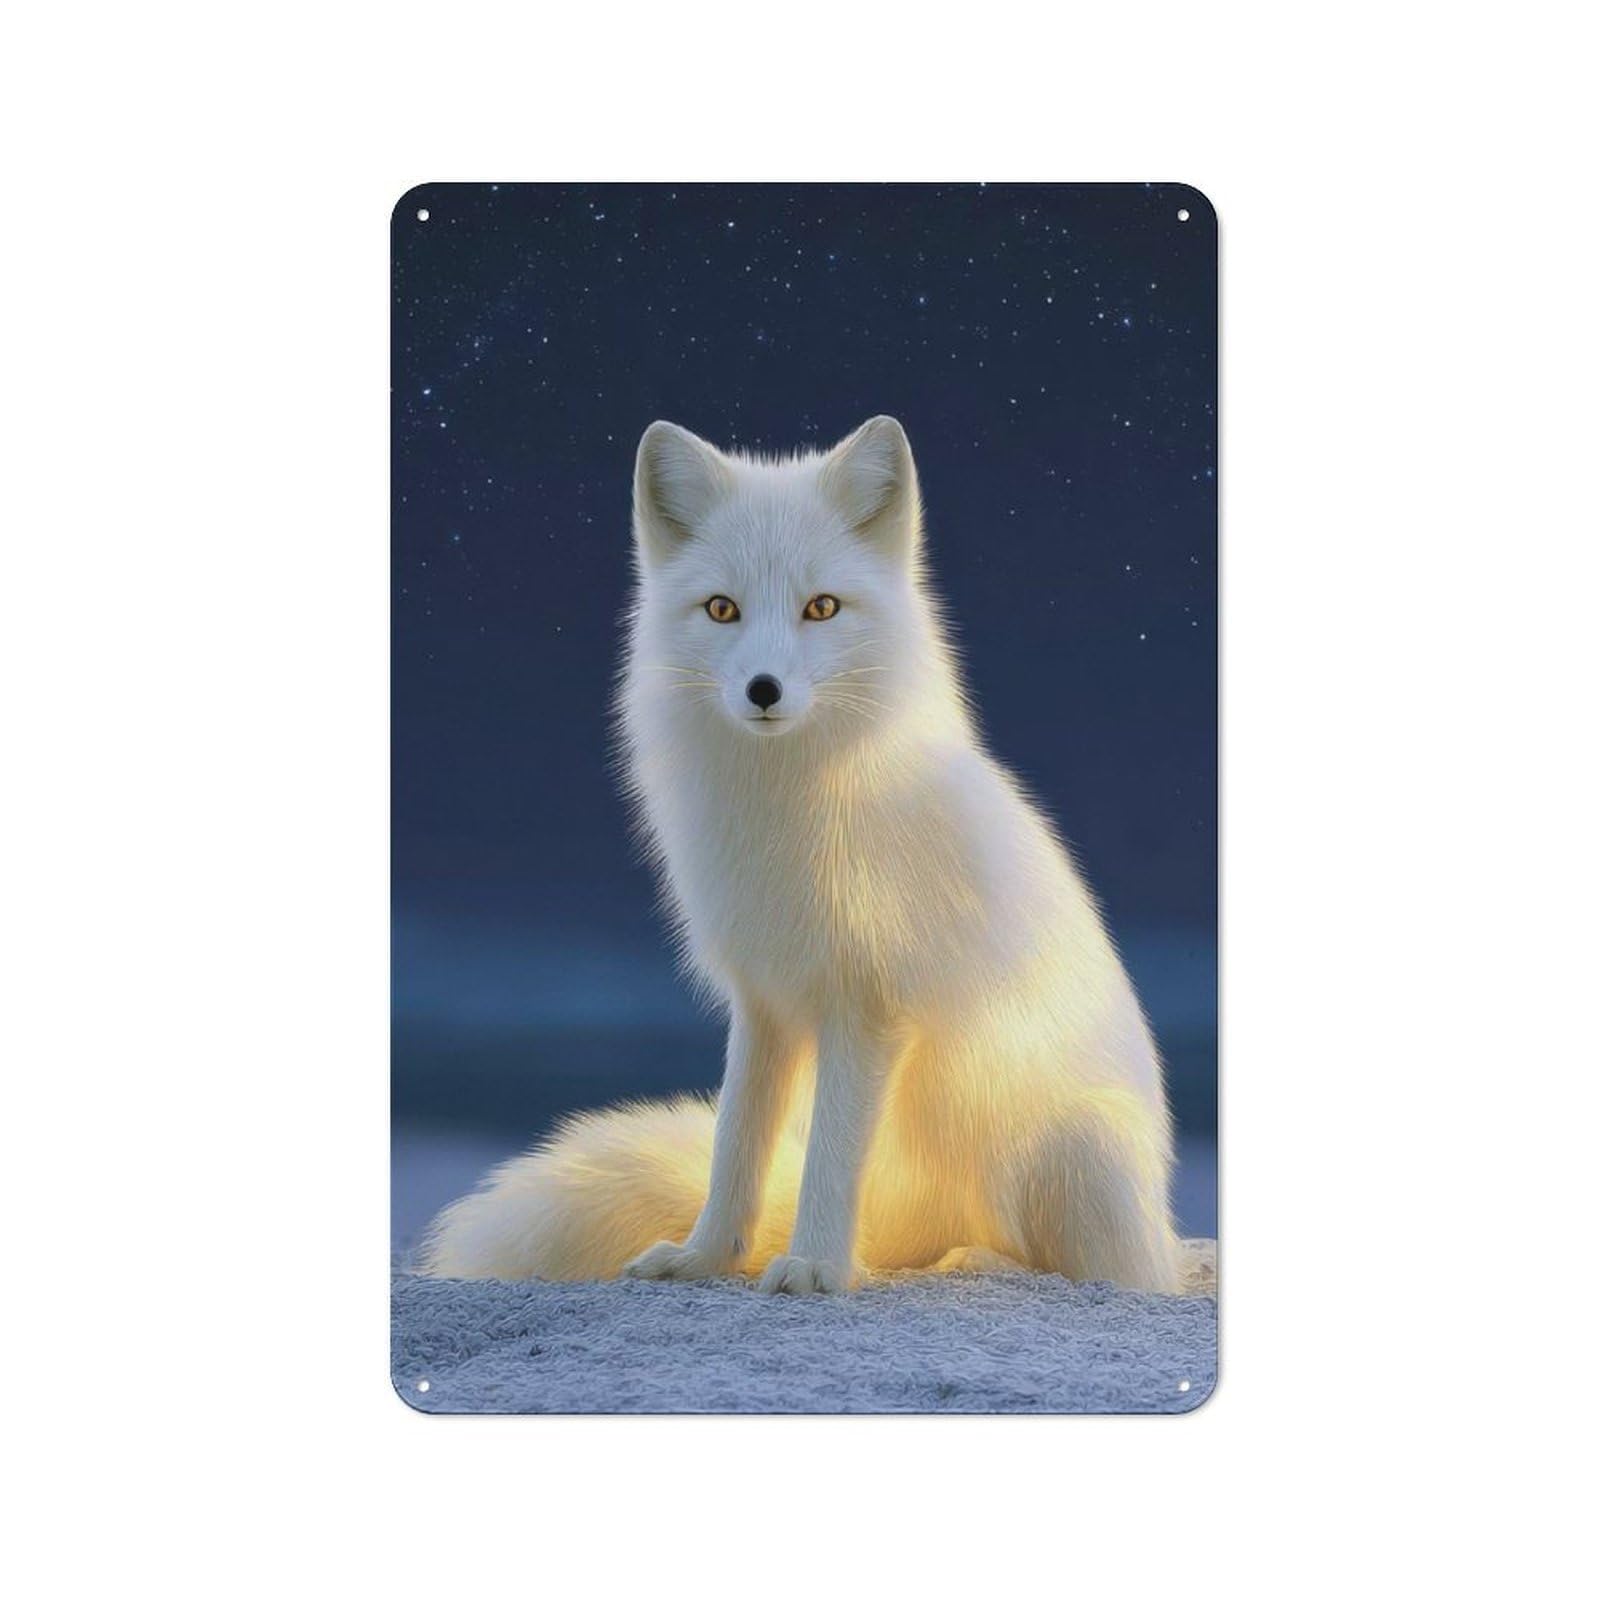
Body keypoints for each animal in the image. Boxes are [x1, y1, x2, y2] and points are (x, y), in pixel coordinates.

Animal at [420, 415, 1183, 1294]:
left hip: (1067, 1158)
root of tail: (1165, 1234)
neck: (785, 813)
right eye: (722, 609)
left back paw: (965, 1262)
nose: (763, 689)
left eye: (822, 607)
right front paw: (706, 1257)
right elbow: (735, 1146)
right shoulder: (764, 1001)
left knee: (1084, 1269)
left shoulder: (868, 1004)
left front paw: (814, 1265)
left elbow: (829, 1154)